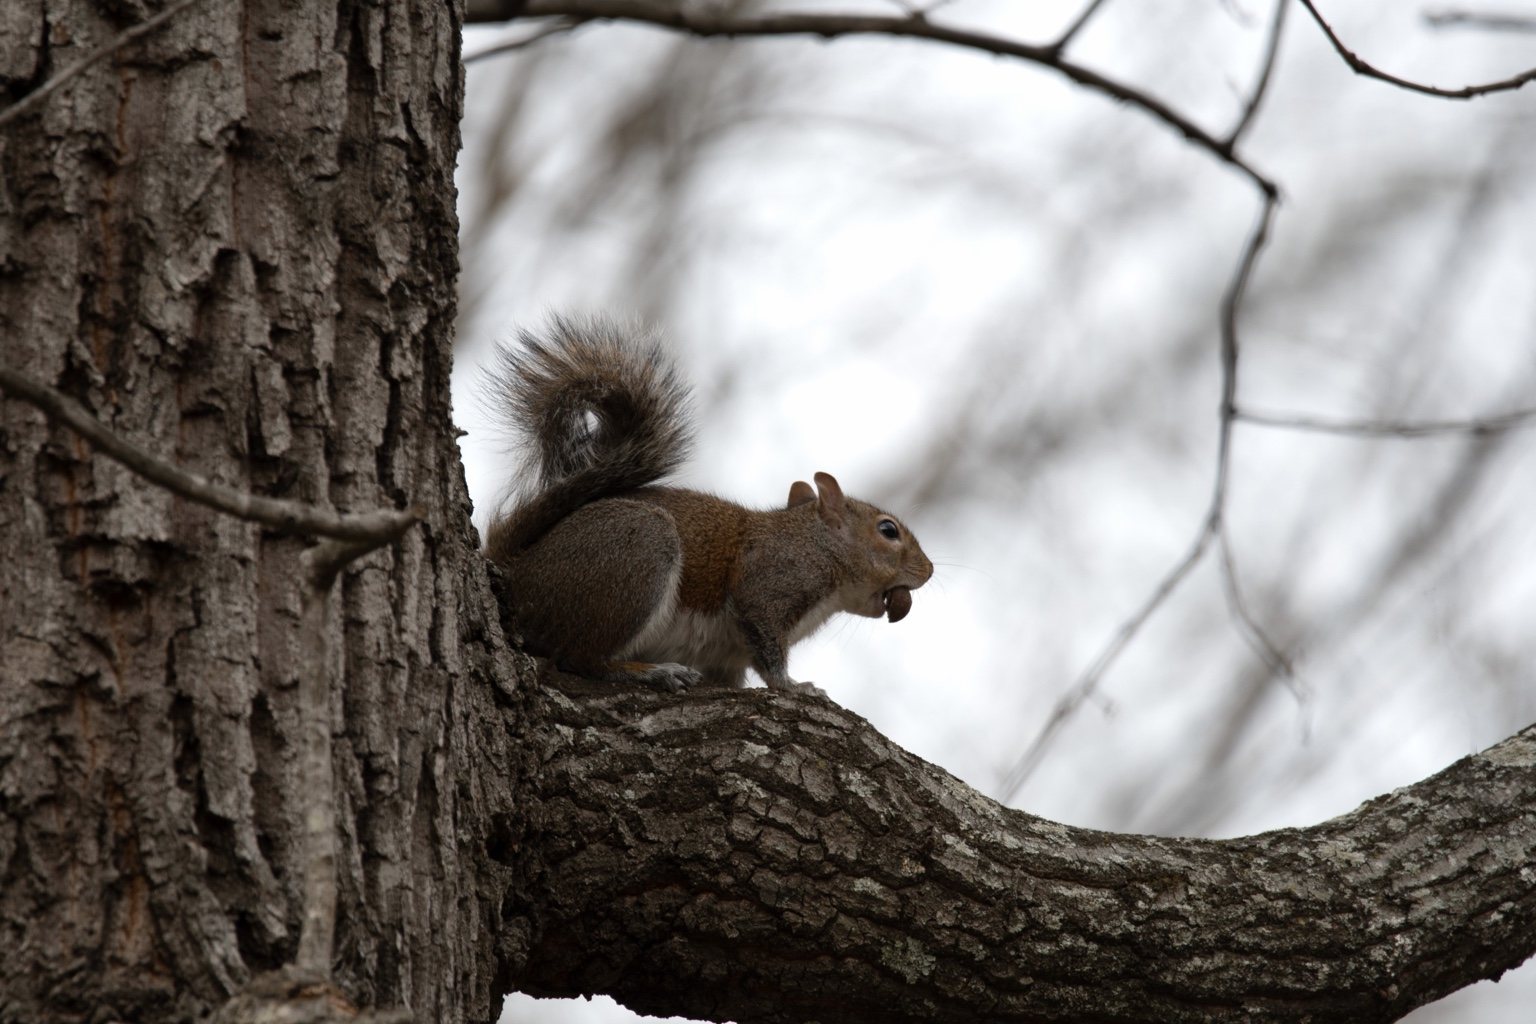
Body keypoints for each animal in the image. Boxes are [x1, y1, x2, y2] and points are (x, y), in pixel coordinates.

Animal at [483, 315, 934, 697]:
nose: (928, 571)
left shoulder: (728, 658)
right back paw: (650, 672)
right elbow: (768, 649)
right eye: (888, 530)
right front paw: (793, 686)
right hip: (635, 555)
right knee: (580, 657)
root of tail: (518, 575)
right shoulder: (770, 584)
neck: (816, 544)